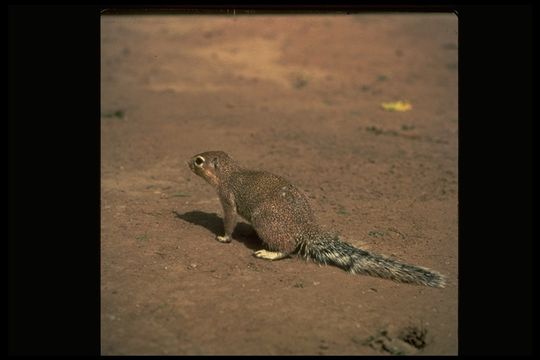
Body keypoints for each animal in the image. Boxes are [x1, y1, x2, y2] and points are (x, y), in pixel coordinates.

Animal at [188, 150, 446, 288]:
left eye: (199, 160)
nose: (187, 162)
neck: (228, 173)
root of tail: (307, 227)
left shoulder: (227, 198)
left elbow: (230, 220)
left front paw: (224, 237)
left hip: (265, 219)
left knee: (288, 248)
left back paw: (269, 253)